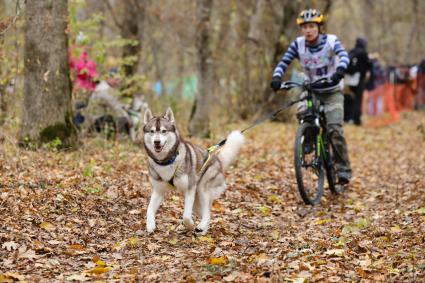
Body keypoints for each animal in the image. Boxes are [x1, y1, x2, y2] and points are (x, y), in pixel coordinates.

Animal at [142, 107, 243, 235]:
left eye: (164, 131)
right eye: (152, 131)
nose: (157, 142)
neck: (166, 161)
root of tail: (217, 158)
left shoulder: (190, 190)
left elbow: (186, 216)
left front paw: (189, 225)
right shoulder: (158, 191)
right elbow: (149, 209)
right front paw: (150, 225)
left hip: (201, 189)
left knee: (207, 212)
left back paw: (201, 226)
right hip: (196, 199)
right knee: (206, 213)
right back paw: (203, 230)